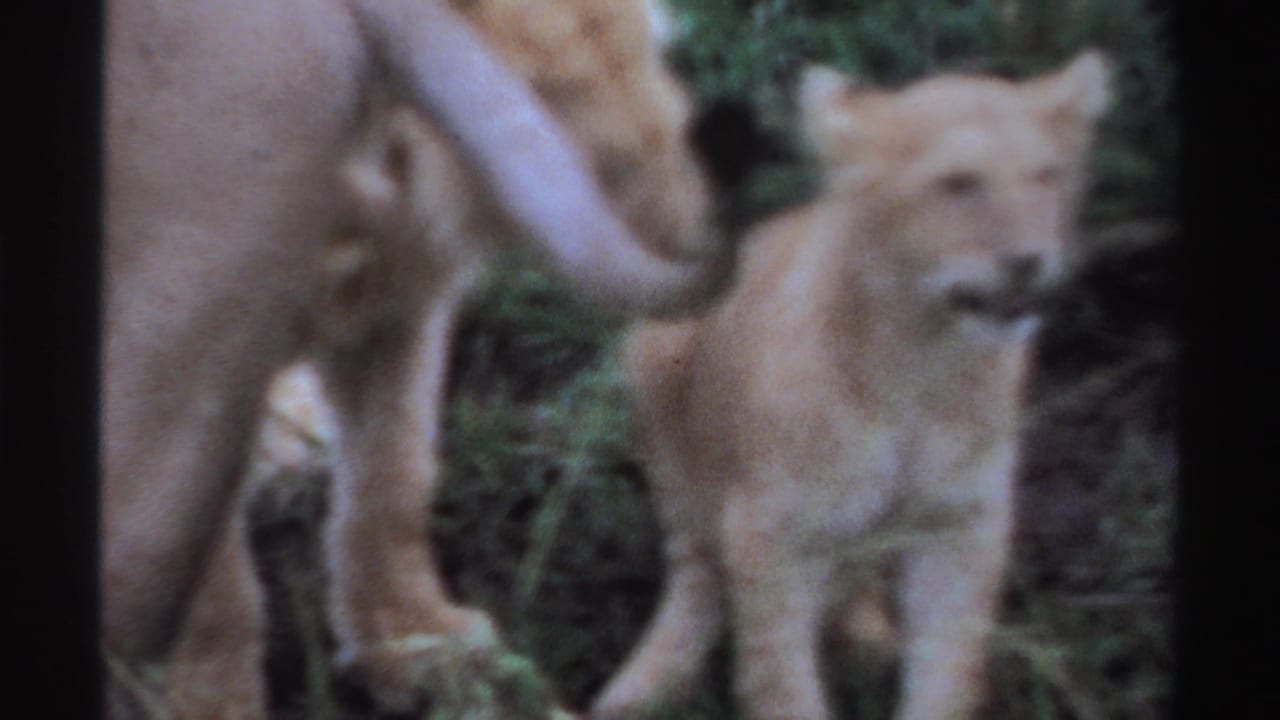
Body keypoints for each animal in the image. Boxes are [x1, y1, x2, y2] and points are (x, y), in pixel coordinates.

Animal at [104, 0, 741, 717]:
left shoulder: (403, 293)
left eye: (653, 54)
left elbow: (395, 477)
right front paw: (202, 696)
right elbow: (212, 580)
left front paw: (420, 646)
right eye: (550, 95)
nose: (702, 219)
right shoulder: (191, 336)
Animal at [590, 52, 1110, 720]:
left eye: (1047, 176)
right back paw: (645, 687)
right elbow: (783, 684)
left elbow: (946, 671)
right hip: (658, 363)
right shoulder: (772, 531)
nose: (1028, 260)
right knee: (696, 569)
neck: (921, 357)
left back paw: (868, 641)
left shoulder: (959, 524)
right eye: (959, 183)